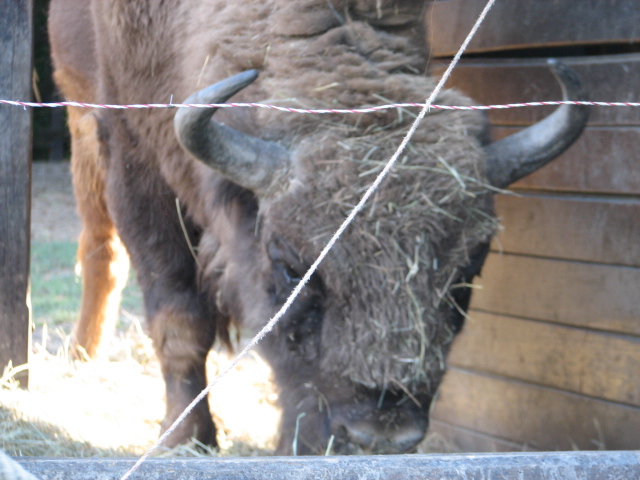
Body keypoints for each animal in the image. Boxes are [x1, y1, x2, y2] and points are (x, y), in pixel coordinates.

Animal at [49, 0, 588, 454]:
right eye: (291, 266)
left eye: (467, 270)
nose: (378, 438)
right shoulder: (136, 160)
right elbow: (179, 316)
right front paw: (184, 440)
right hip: (81, 123)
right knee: (101, 250)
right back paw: (81, 354)